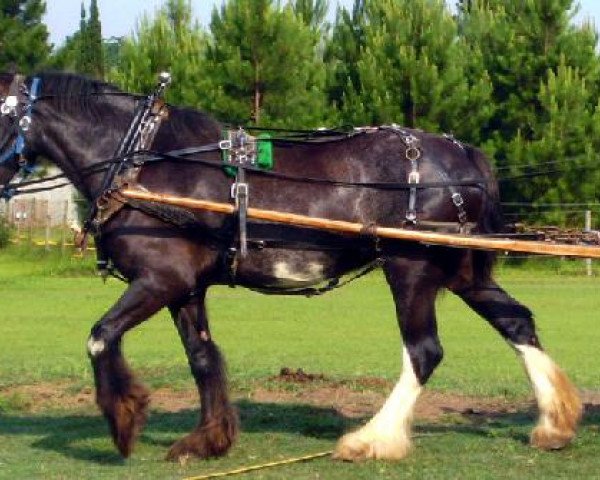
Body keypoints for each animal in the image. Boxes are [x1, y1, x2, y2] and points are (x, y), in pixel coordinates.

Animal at [0, 73, 580, 464]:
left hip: (410, 267)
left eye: (0, 113)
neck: (144, 162)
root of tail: (464, 156)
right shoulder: (185, 287)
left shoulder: (160, 281)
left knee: (424, 351)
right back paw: (553, 423)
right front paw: (208, 439)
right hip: (462, 272)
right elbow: (202, 358)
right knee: (516, 321)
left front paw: (124, 421)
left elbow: (100, 335)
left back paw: (372, 439)